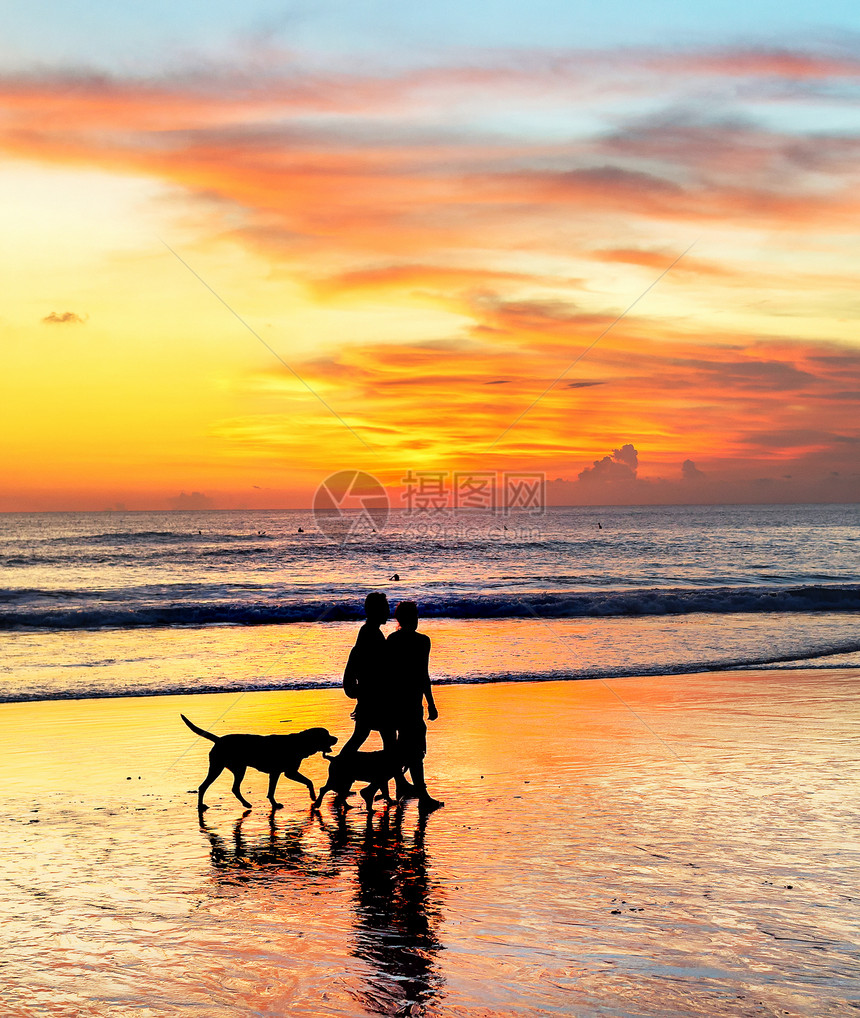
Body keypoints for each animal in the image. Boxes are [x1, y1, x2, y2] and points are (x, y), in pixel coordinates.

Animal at [181, 716, 335, 810]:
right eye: (326, 735)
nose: (336, 738)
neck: (300, 743)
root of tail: (219, 739)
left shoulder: (275, 773)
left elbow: (271, 791)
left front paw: (274, 803)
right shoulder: (289, 772)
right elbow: (309, 781)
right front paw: (313, 796)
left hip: (233, 768)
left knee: (229, 788)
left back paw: (244, 803)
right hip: (224, 768)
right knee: (207, 786)